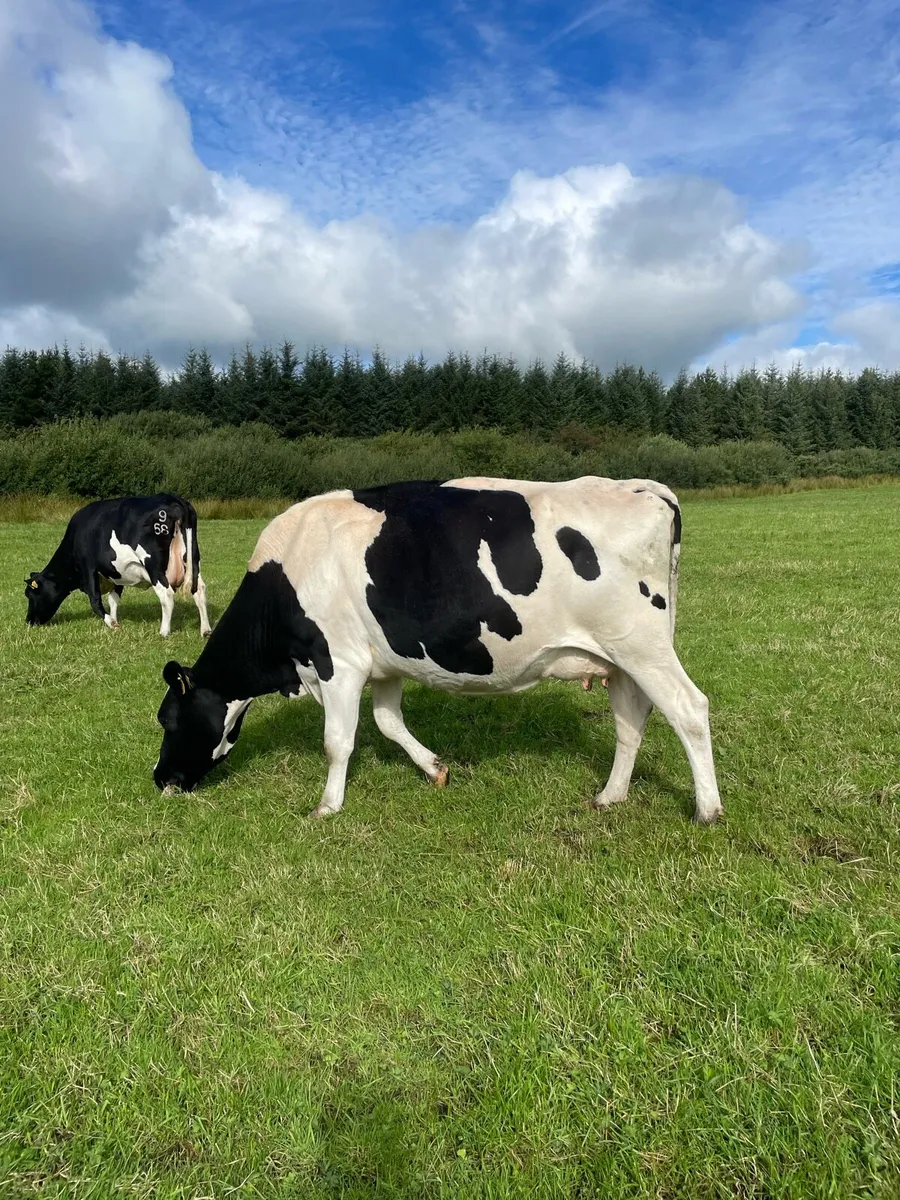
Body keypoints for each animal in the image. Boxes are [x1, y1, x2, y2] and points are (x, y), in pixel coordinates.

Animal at [25, 493, 211, 638]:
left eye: (30, 594)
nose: (28, 621)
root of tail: (172, 498)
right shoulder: (117, 573)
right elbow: (113, 599)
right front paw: (114, 619)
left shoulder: (88, 567)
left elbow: (95, 600)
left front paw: (111, 623)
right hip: (193, 560)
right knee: (199, 590)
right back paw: (205, 630)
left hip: (154, 566)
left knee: (166, 595)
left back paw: (164, 631)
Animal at [153, 476, 722, 823]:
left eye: (168, 719)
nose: (161, 778)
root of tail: (644, 487)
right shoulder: (382, 665)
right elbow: (388, 723)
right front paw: (435, 769)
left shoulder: (337, 662)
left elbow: (337, 742)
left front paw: (327, 806)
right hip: (620, 658)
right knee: (631, 718)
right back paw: (611, 795)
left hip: (641, 646)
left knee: (689, 709)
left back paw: (707, 810)